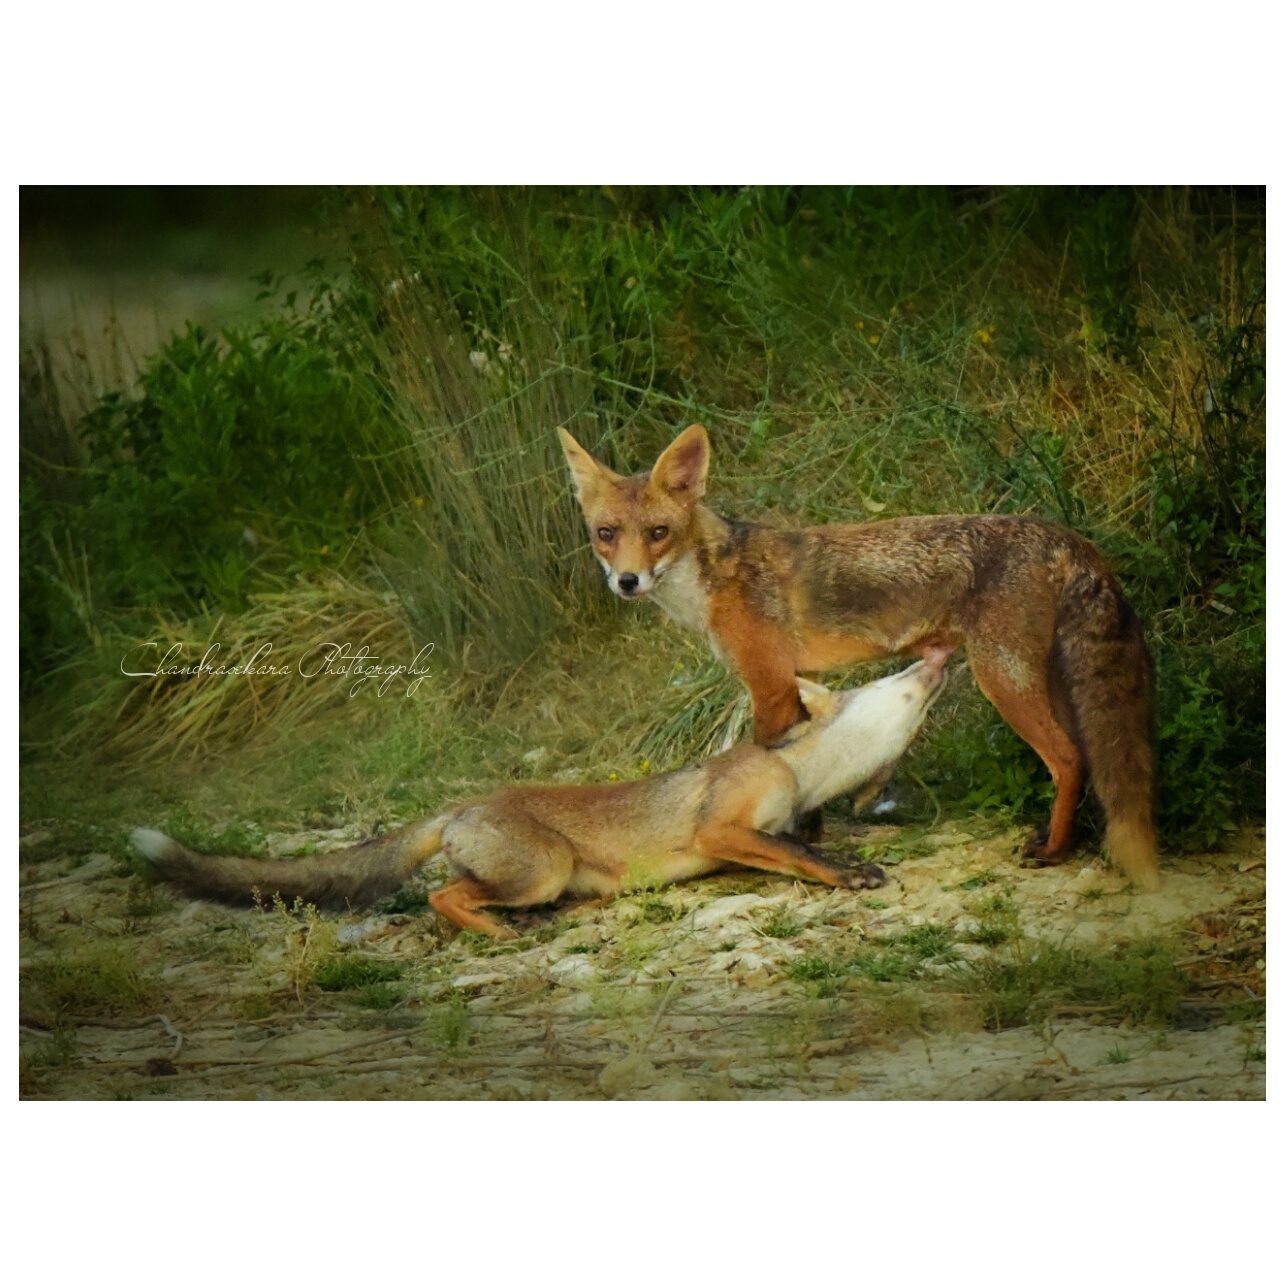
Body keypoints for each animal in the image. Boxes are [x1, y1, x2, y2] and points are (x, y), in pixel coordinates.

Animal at [131, 656, 948, 938]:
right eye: (899, 676)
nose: (941, 655)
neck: (803, 777)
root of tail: (464, 803)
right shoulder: (721, 826)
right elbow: (798, 857)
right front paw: (848, 874)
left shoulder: (791, 821)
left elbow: (804, 846)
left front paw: (847, 860)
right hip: (541, 869)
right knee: (444, 898)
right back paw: (495, 932)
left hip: (548, 877)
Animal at [559, 422, 1160, 891]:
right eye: (605, 534)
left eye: (658, 533)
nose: (627, 582)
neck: (714, 581)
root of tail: (1064, 535)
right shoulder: (797, 679)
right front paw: (812, 839)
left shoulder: (768, 683)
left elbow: (773, 761)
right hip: (1046, 679)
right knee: (1089, 759)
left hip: (1003, 679)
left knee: (1069, 759)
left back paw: (1054, 851)